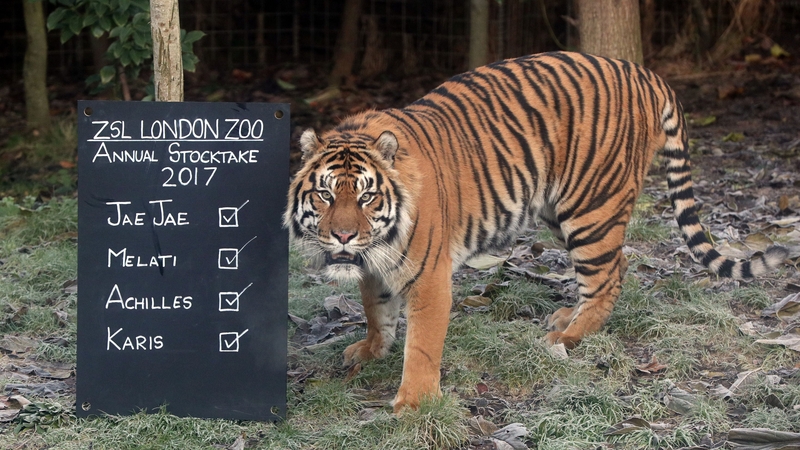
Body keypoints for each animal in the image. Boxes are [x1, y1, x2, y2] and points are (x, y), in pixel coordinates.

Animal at [284, 51, 788, 412]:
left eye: (367, 196)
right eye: (325, 195)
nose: (344, 237)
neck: (377, 243)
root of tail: (645, 73)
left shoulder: (428, 276)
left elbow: (422, 345)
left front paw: (415, 404)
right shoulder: (375, 266)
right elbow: (377, 309)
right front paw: (372, 349)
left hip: (591, 207)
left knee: (607, 276)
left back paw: (566, 338)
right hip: (562, 210)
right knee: (617, 266)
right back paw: (566, 319)